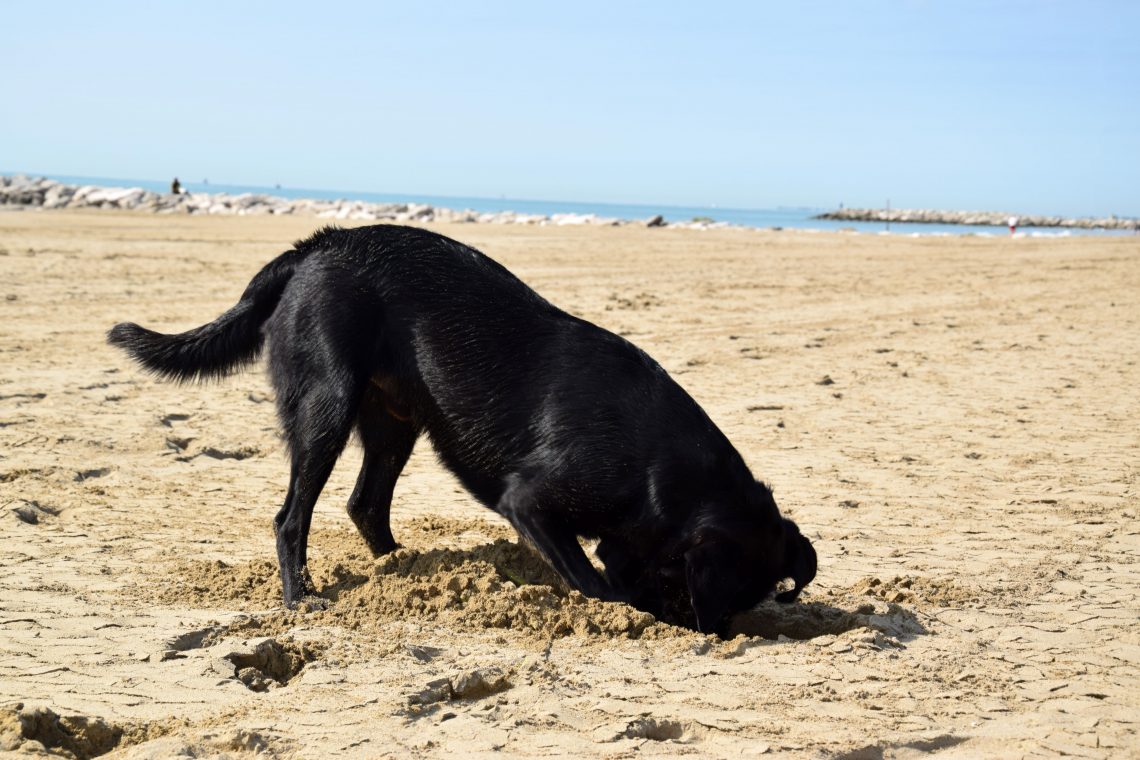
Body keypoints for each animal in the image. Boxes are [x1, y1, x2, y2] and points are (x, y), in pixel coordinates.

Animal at [108, 225, 811, 638]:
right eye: (711, 594)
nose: (714, 634)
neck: (659, 469)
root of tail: (318, 244)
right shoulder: (530, 502)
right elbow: (591, 581)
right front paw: (619, 606)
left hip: (394, 424)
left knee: (366, 506)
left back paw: (407, 571)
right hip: (328, 408)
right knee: (291, 518)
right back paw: (301, 599)